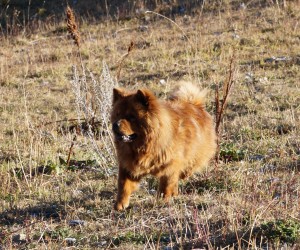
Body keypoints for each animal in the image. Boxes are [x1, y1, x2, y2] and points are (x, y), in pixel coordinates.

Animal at [110, 81, 216, 210]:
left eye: (131, 117)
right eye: (117, 115)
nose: (115, 124)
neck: (145, 146)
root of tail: (195, 105)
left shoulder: (170, 166)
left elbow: (166, 185)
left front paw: (163, 200)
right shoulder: (128, 165)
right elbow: (123, 185)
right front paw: (120, 204)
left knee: (184, 172)